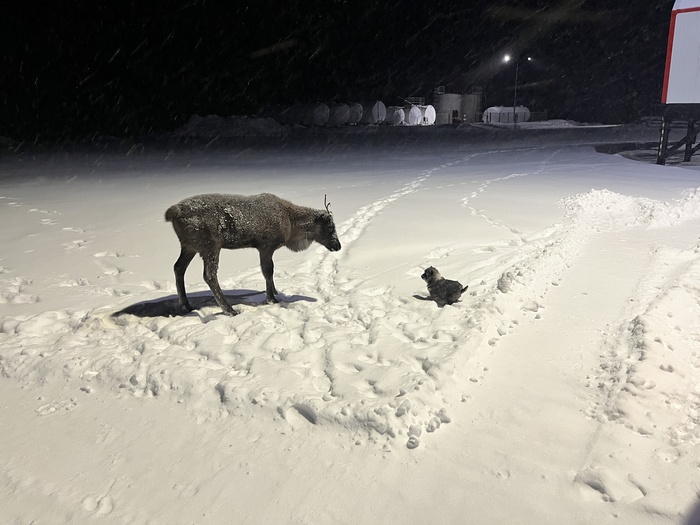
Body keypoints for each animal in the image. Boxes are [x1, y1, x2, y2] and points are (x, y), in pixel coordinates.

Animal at [165, 193, 341, 316]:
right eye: (330, 227)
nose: (338, 246)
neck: (291, 225)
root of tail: (173, 212)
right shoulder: (266, 246)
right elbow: (268, 271)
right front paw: (272, 298)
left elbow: (269, 272)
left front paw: (275, 291)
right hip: (210, 246)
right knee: (209, 275)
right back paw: (229, 310)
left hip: (189, 246)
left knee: (178, 267)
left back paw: (187, 305)